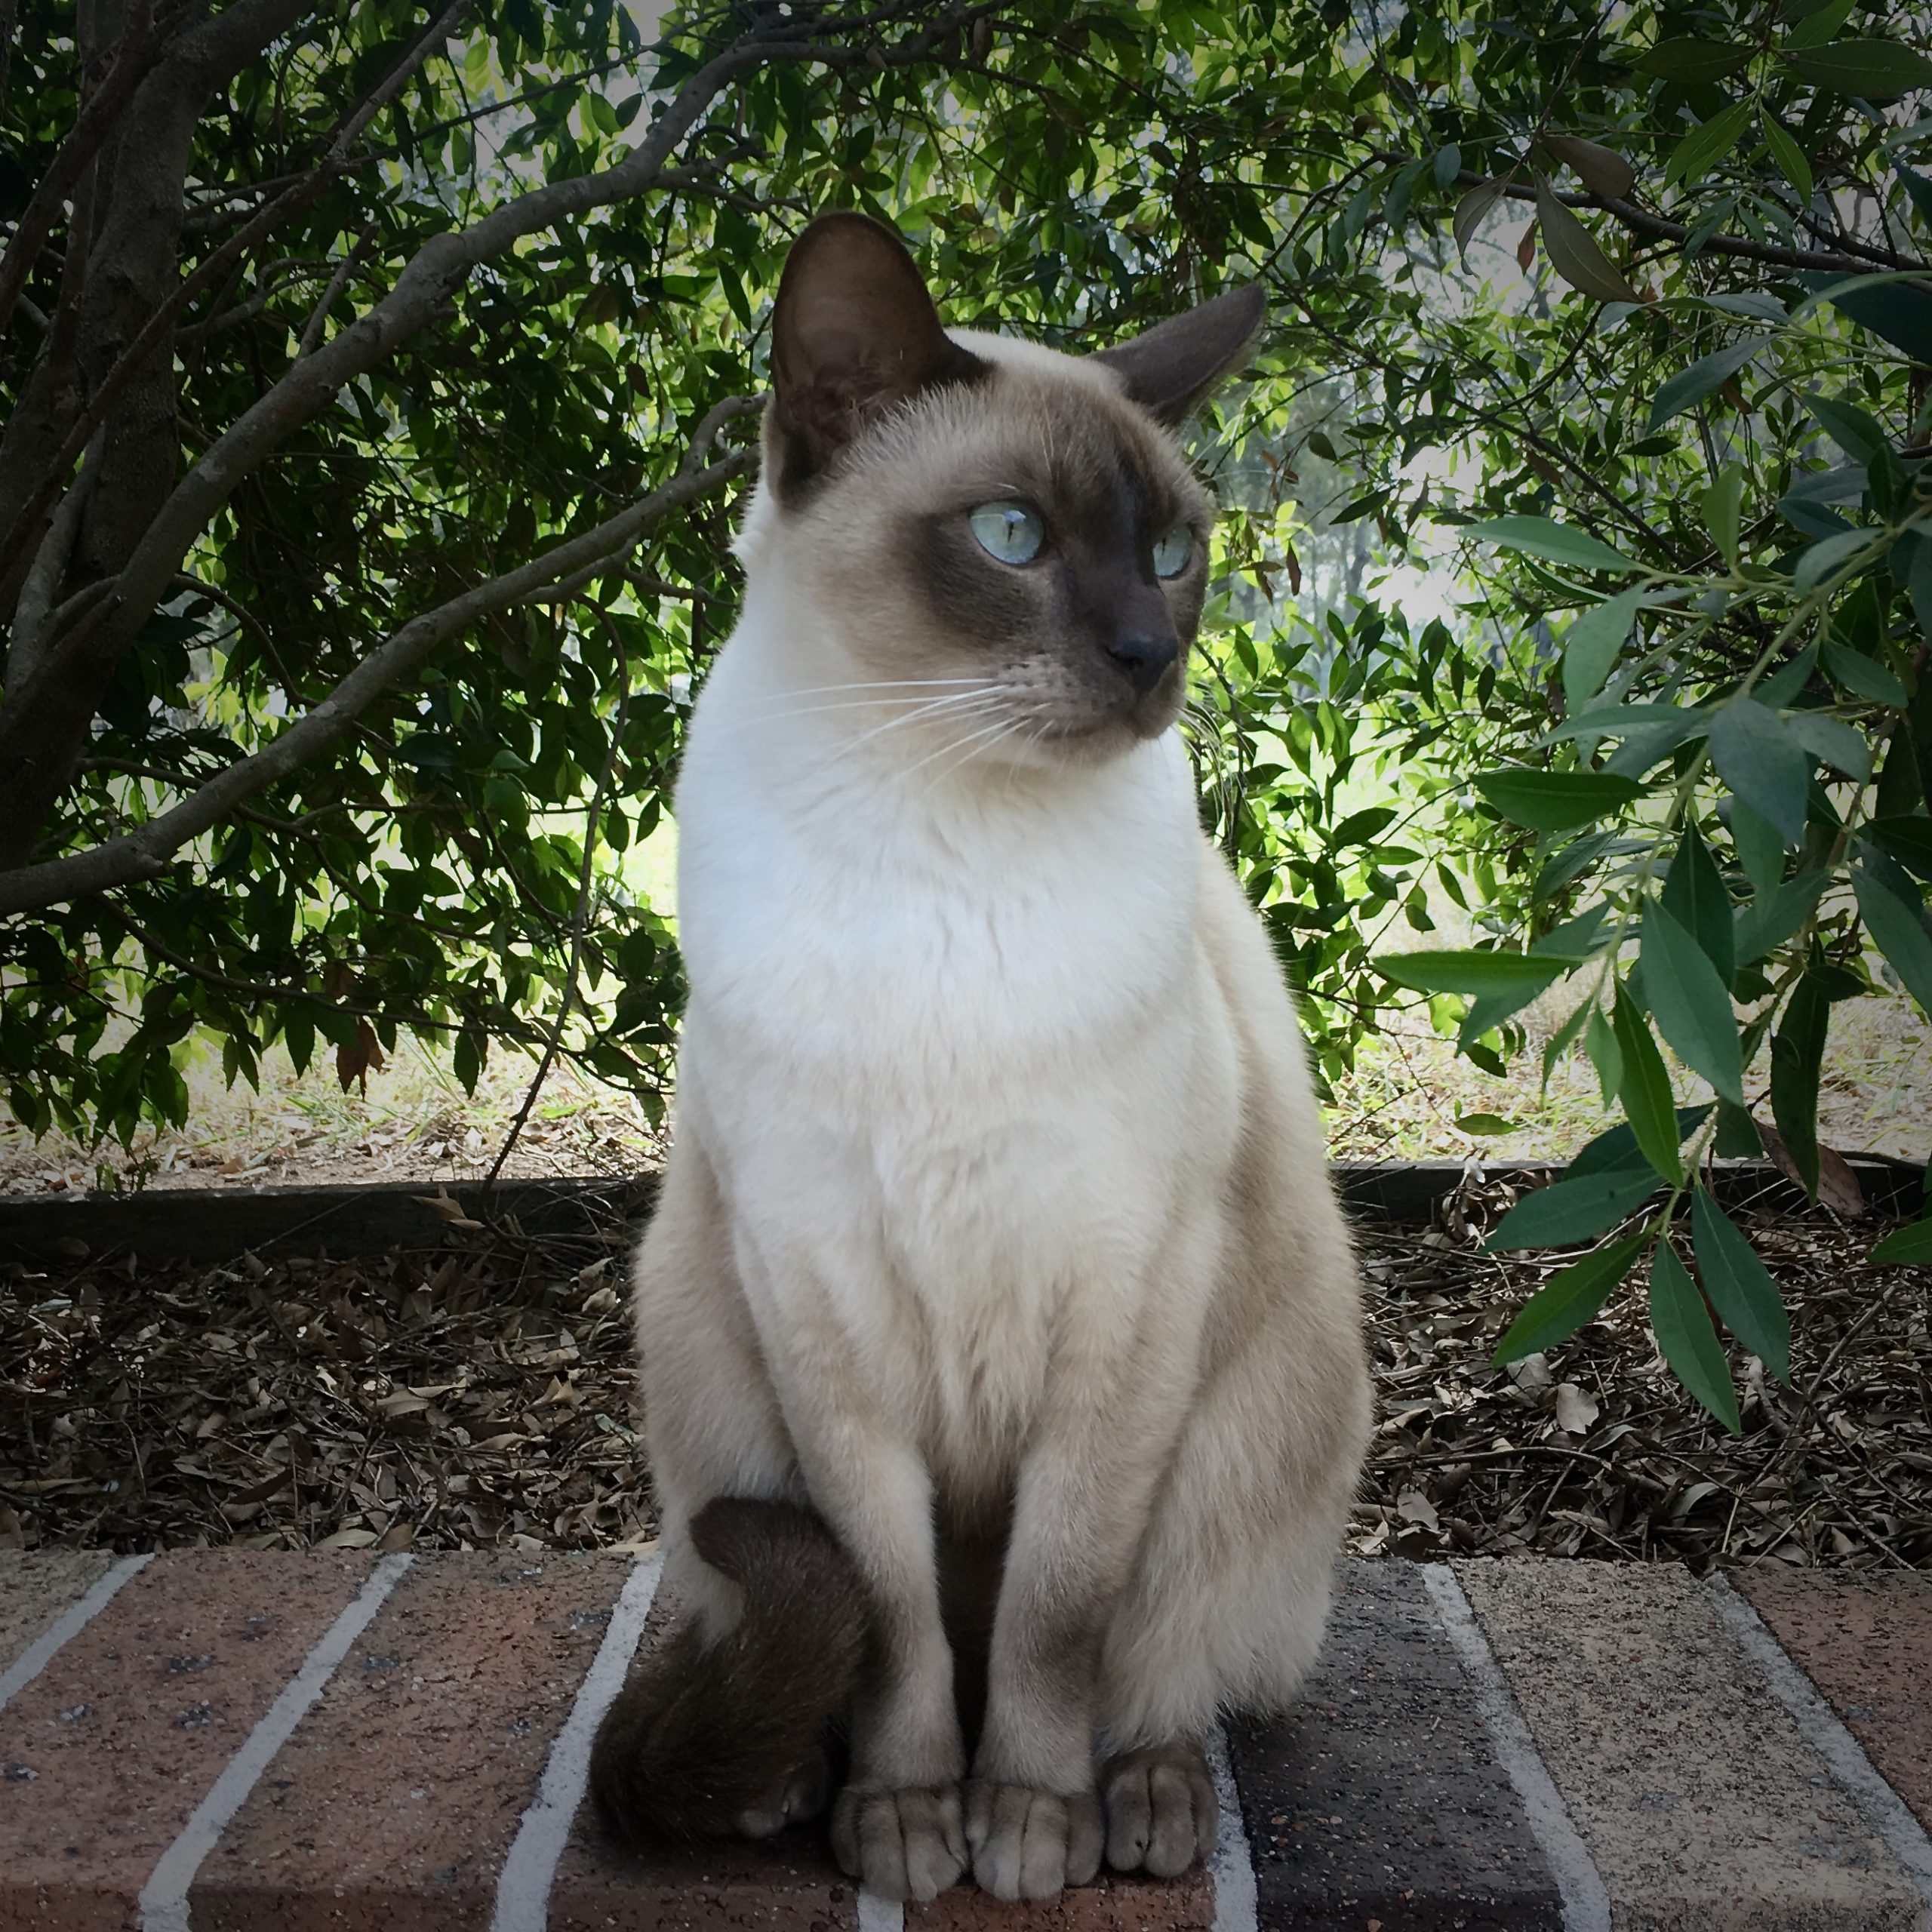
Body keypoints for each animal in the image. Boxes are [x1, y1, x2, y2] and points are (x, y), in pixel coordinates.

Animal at [587, 211, 1375, 1901]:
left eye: (1172, 554)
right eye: (1012, 537)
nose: (1146, 655)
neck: (937, 829)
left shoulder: (1122, 1301)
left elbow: (1050, 1618)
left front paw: (1019, 1826)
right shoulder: (817, 1306)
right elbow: (894, 1624)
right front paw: (907, 1824)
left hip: (1237, 1432)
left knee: (1160, 1665)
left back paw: (1139, 1809)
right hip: (707, 1366)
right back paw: (784, 1793)